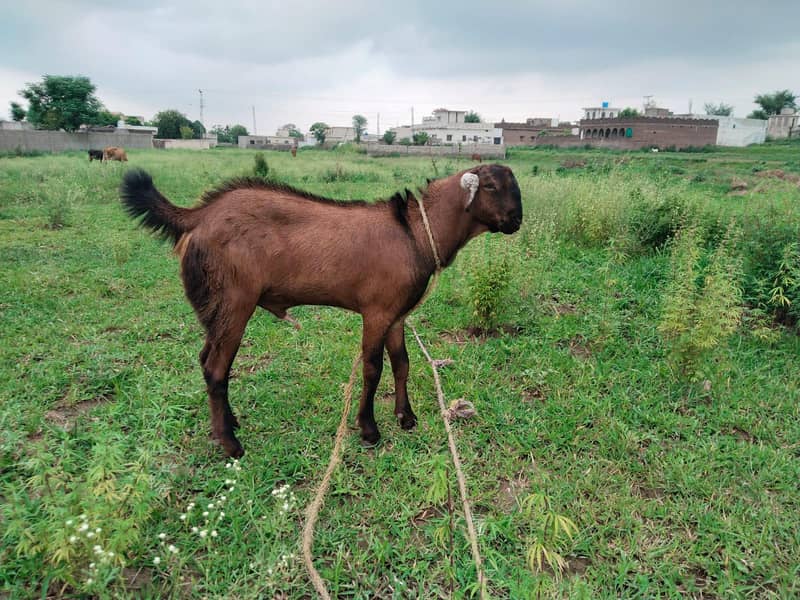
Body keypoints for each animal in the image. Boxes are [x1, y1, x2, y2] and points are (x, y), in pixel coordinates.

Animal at [120, 164, 522, 458]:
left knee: (207, 360)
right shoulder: (376, 311)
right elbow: (373, 368)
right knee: (216, 368)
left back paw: (229, 425)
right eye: (490, 186)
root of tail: (197, 216)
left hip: (215, 306)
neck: (415, 232)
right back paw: (231, 445)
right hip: (234, 301)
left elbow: (402, 363)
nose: (516, 220)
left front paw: (406, 417)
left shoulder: (396, 314)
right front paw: (368, 429)